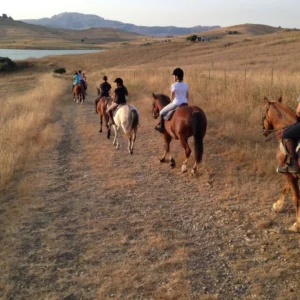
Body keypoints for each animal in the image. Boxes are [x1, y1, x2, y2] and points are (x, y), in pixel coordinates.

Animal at [260, 96, 300, 232]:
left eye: (264, 113)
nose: (263, 131)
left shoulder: (289, 174)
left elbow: (296, 198)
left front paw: (297, 224)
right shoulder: (291, 174)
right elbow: (285, 189)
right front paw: (277, 205)